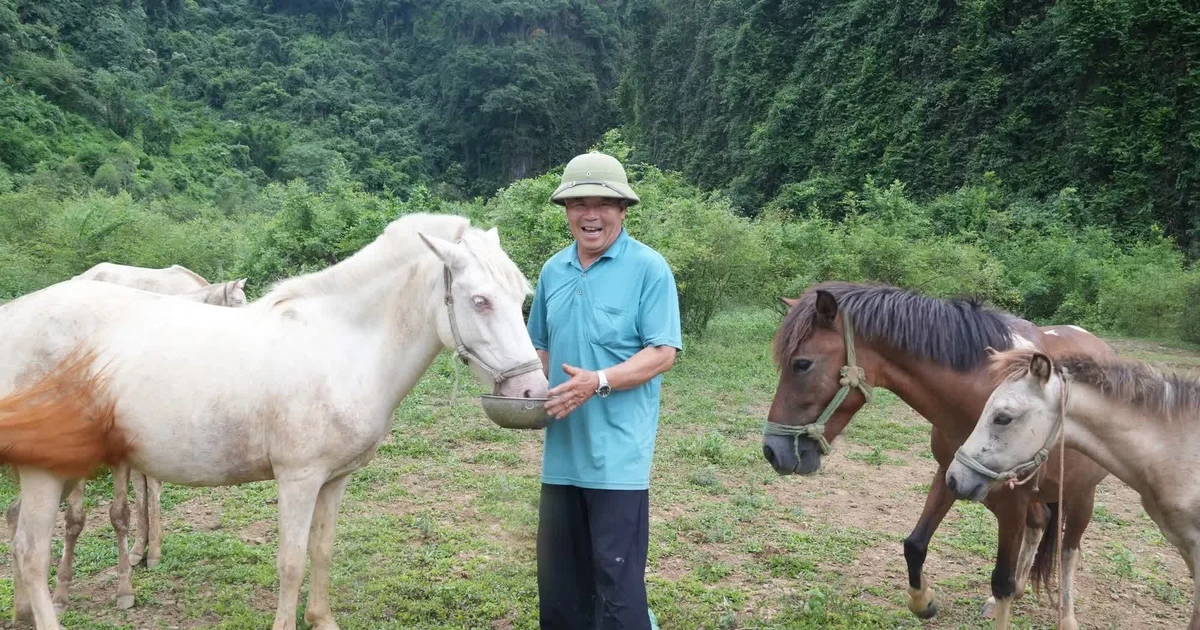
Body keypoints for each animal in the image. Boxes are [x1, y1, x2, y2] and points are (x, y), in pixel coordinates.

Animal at [763, 282, 1113, 630]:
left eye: (802, 364)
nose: (771, 450)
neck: (982, 395)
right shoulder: (951, 474)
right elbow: (915, 545)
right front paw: (923, 603)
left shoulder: (1013, 501)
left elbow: (1002, 579)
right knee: (1040, 523)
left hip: (1082, 494)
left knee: (1069, 551)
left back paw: (1066, 617)